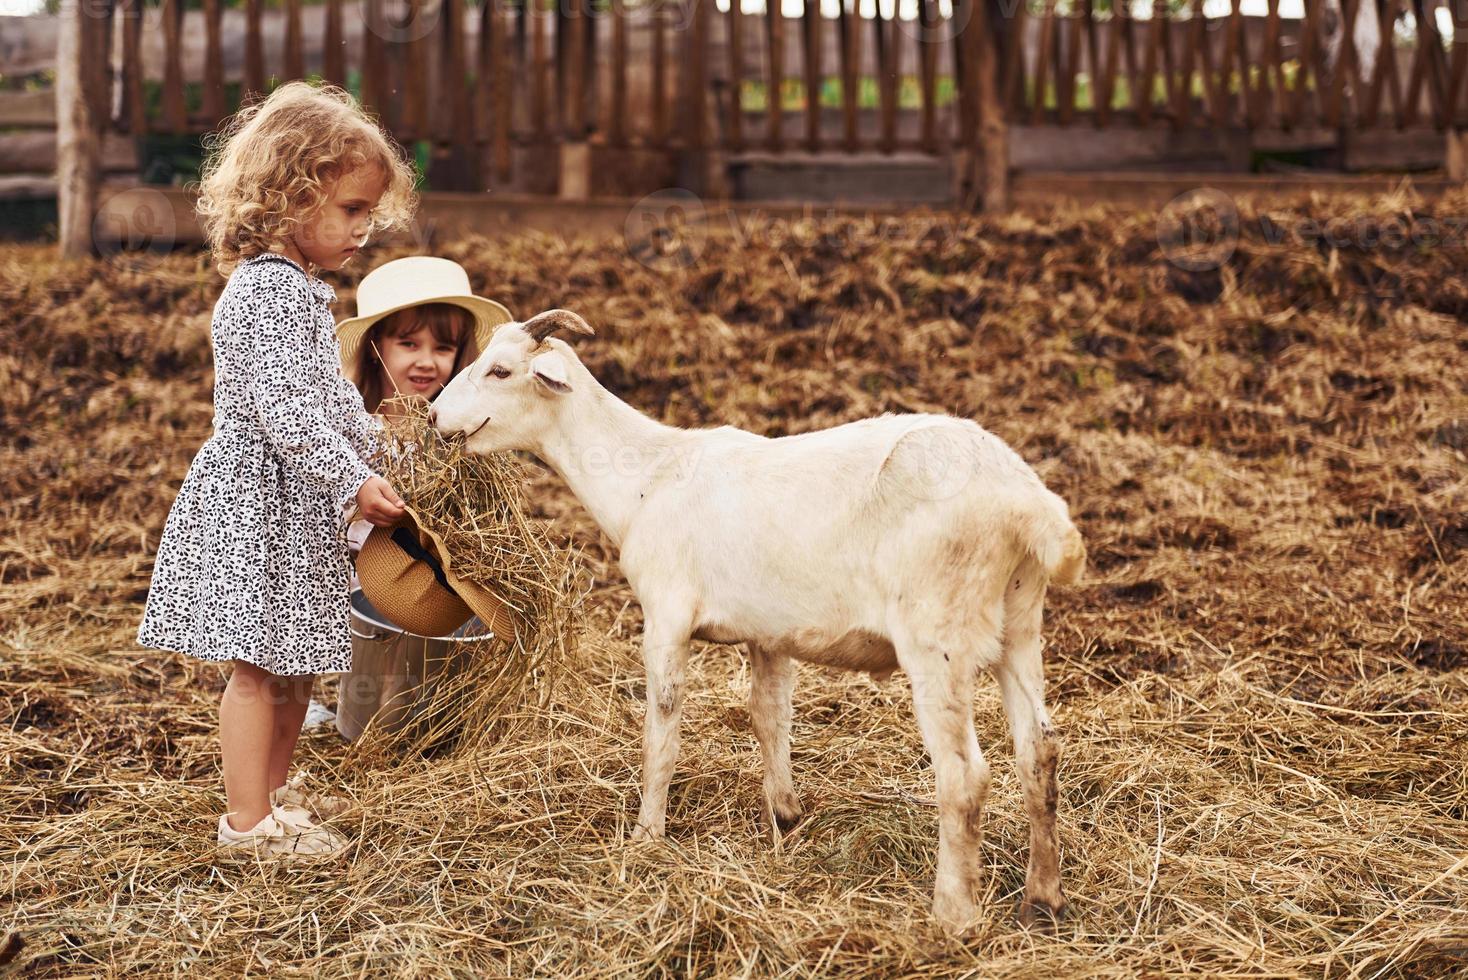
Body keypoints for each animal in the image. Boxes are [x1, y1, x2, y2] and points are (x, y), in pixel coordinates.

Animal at [428, 309, 1086, 933]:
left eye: (501, 371)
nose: (434, 417)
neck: (645, 477)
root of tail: (1030, 505)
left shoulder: (666, 613)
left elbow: (662, 727)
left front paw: (646, 837)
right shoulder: (771, 634)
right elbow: (769, 717)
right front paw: (785, 816)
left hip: (938, 636)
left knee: (964, 776)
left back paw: (954, 916)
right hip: (1019, 625)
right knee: (1039, 753)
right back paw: (1043, 901)